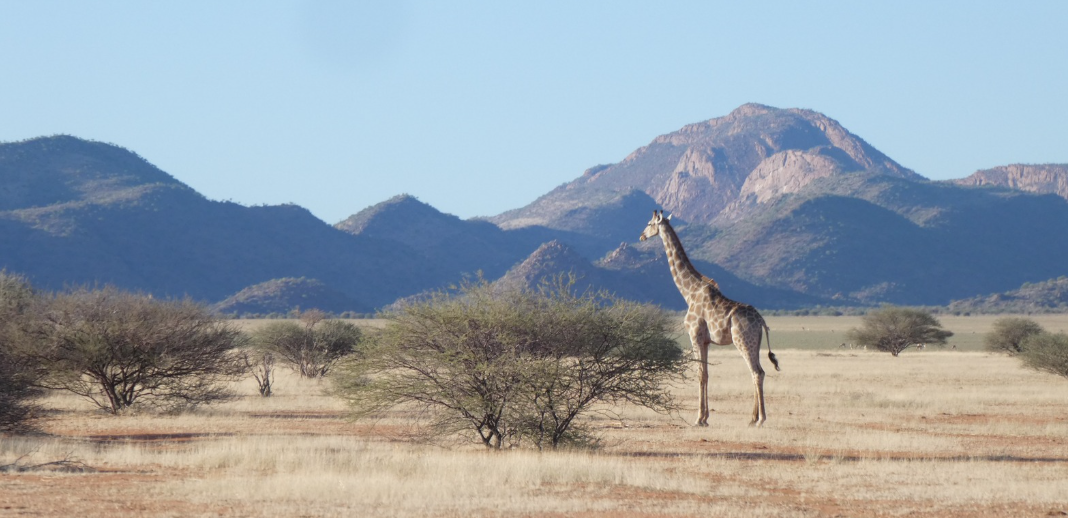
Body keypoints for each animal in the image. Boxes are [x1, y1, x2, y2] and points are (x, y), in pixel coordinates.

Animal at [639, 210, 780, 426]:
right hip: (755, 343)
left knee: (757, 372)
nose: (641, 236)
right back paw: (752, 418)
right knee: (758, 371)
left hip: (743, 341)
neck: (688, 293)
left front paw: (699, 419)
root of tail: (762, 322)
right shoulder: (706, 341)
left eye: (649, 223)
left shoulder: (695, 336)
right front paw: (705, 418)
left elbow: (700, 374)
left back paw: (760, 419)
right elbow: (706, 374)